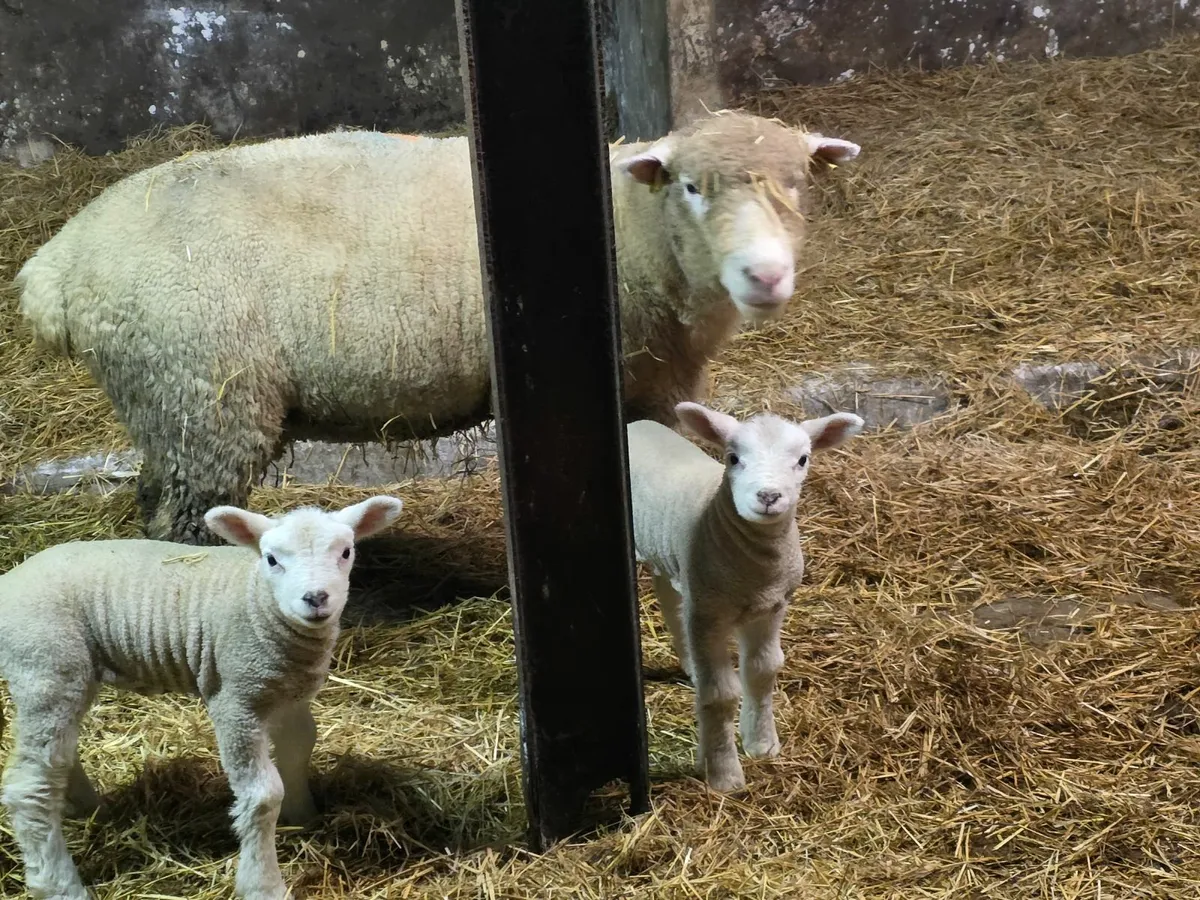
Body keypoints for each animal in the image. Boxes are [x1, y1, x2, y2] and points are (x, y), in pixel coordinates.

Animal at [0, 495, 405, 900]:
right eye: (272, 559)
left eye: (346, 552)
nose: (316, 598)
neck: (258, 599)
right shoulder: (236, 699)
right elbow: (262, 795)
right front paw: (263, 883)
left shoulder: (288, 695)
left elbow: (299, 748)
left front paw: (303, 816)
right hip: (46, 665)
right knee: (29, 788)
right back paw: (59, 884)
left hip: (62, 677)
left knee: (58, 757)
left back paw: (87, 808)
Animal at [15, 110, 861, 545]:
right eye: (691, 186)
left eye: (797, 186)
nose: (765, 275)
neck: (632, 224)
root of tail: (59, 263)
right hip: (204, 397)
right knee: (182, 518)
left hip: (166, 404)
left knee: (153, 497)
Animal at [626, 402, 864, 793]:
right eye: (733, 457)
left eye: (802, 459)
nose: (768, 497)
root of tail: (636, 424)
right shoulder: (707, 613)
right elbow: (721, 693)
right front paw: (724, 774)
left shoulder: (771, 607)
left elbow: (763, 671)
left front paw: (762, 744)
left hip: (669, 558)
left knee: (670, 600)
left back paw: (690, 664)